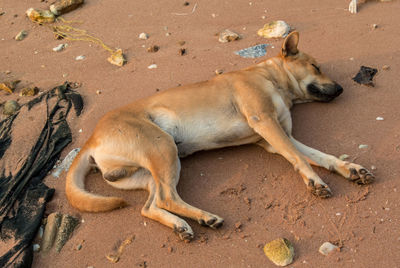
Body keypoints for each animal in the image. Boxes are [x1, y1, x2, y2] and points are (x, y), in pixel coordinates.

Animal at [65, 30, 376, 241]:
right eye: (316, 67)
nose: (341, 89)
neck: (270, 77)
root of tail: (91, 138)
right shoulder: (266, 123)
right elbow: (300, 158)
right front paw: (315, 181)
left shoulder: (279, 137)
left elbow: (320, 156)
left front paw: (350, 169)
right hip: (163, 147)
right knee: (166, 198)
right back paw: (205, 217)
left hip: (148, 171)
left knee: (150, 206)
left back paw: (184, 224)